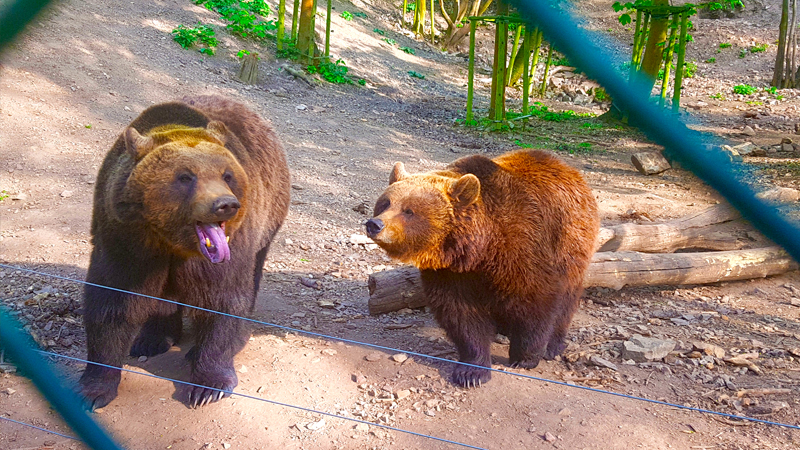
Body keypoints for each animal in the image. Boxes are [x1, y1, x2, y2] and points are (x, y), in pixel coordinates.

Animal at [78, 96, 290, 410]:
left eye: (227, 174)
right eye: (186, 177)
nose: (225, 204)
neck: (172, 239)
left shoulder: (226, 250)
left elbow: (223, 298)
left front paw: (209, 385)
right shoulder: (126, 240)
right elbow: (114, 301)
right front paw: (93, 389)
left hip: (268, 218)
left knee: (252, 276)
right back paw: (153, 337)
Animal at [366, 149, 596, 386]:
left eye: (409, 210)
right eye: (385, 203)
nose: (375, 224)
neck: (480, 249)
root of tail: (567, 168)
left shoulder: (523, 248)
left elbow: (536, 300)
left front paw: (525, 357)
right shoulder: (451, 273)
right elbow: (461, 315)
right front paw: (471, 371)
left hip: (570, 240)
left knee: (567, 296)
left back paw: (553, 345)